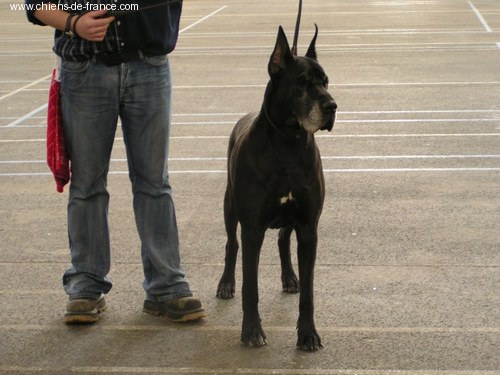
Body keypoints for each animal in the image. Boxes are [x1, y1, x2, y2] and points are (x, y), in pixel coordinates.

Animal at [215, 24, 336, 352]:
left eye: (326, 81)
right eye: (302, 83)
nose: (332, 106)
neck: (288, 143)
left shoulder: (308, 226)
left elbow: (309, 293)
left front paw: (308, 334)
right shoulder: (252, 227)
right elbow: (250, 286)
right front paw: (252, 331)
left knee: (283, 239)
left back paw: (290, 277)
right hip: (230, 206)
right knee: (231, 244)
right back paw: (226, 283)